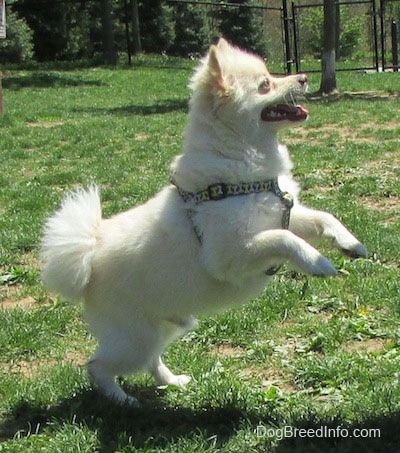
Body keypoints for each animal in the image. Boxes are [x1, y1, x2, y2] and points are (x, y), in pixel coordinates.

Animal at [42, 38, 368, 404]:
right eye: (265, 85)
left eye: (271, 75)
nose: (302, 78)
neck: (243, 168)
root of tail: (87, 257)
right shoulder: (231, 257)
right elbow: (284, 240)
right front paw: (317, 262)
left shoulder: (281, 212)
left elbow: (322, 218)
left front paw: (350, 244)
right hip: (133, 339)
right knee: (97, 366)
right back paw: (122, 400)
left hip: (168, 326)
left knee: (151, 360)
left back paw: (172, 382)